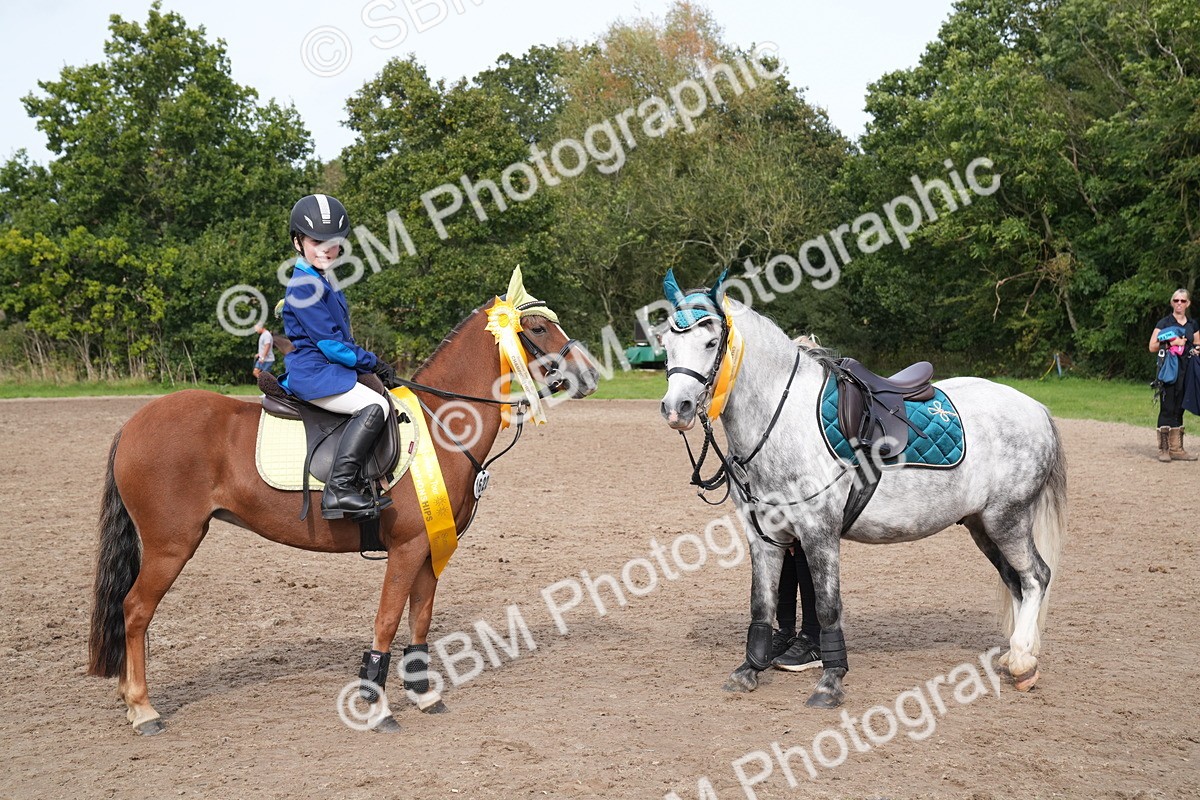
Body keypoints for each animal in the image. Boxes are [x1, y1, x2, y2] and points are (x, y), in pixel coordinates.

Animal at [87, 270, 599, 734]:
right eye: (537, 329)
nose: (590, 374)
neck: (442, 422)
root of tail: (134, 423)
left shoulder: (432, 546)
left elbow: (420, 620)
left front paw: (423, 694)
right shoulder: (409, 547)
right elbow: (387, 621)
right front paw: (377, 708)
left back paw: (130, 700)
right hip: (171, 544)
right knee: (135, 610)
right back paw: (143, 709)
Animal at [657, 270, 1065, 708]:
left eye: (710, 342)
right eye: (666, 344)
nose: (676, 408)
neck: (782, 417)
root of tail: (1036, 408)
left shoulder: (818, 532)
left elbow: (827, 606)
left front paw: (831, 681)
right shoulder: (764, 534)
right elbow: (762, 604)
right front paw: (749, 669)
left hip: (1008, 519)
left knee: (1036, 576)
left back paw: (1023, 660)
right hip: (981, 525)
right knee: (1016, 580)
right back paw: (1018, 655)